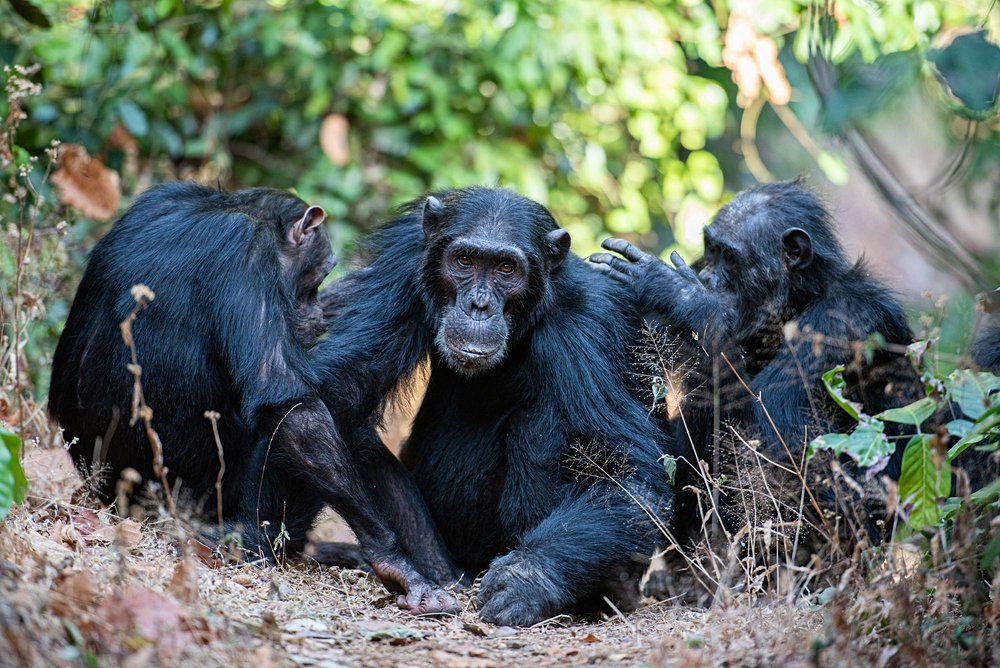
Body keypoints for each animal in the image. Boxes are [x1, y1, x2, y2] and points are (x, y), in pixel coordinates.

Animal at [50, 180, 460, 612]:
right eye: (317, 275)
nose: (314, 310)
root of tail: (111, 498)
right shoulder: (248, 256)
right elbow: (286, 401)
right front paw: (394, 559)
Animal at [318, 187, 680, 628]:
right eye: (465, 261)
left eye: (507, 268)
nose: (479, 304)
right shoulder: (399, 267)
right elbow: (339, 397)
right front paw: (405, 568)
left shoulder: (593, 322)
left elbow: (630, 474)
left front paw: (527, 579)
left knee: (540, 425)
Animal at [588, 180, 924, 540]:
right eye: (711, 250)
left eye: (730, 258)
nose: (706, 279)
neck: (796, 304)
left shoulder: (842, 323)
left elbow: (777, 437)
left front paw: (687, 299)